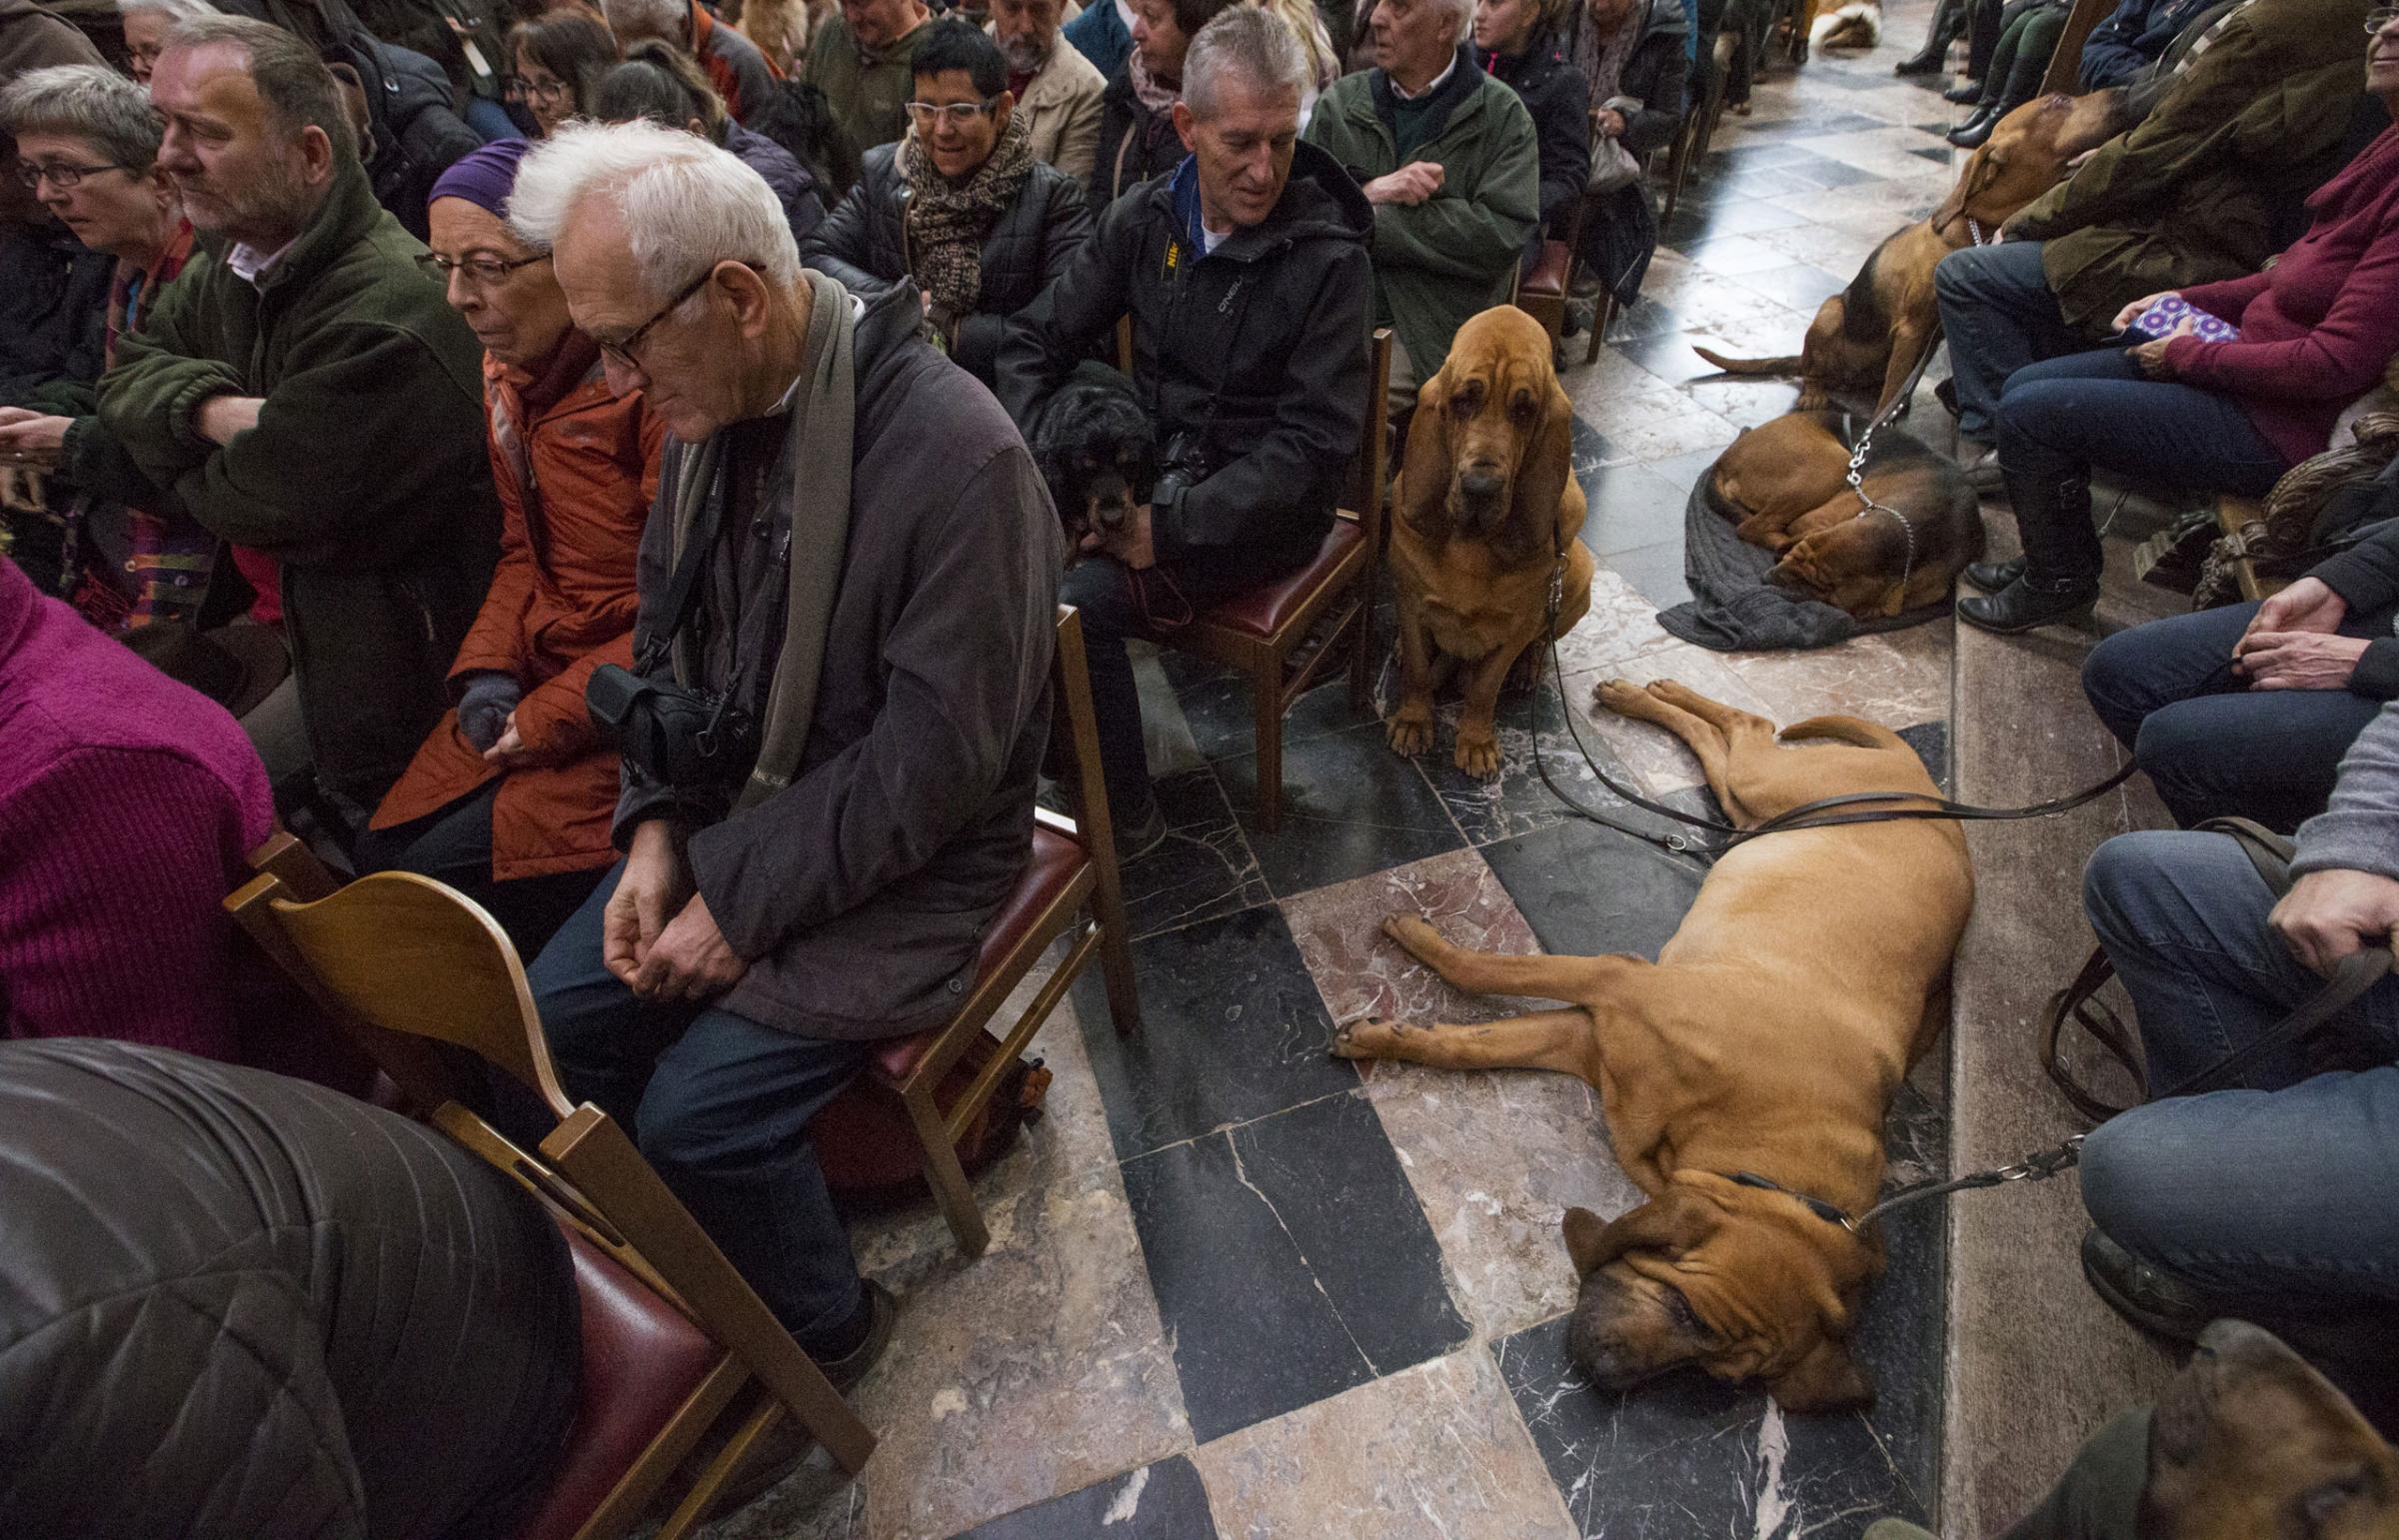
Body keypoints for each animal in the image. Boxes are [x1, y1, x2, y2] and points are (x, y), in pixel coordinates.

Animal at [1333, 676, 1967, 1410]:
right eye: (1688, 1311)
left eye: (1718, 1376)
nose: (1606, 1379)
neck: (1758, 1132)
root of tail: (1934, 794)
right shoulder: (1617, 980)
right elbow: (1482, 970)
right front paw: (1416, 941)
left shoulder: (1587, 1036)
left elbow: (1473, 1044)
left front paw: (1386, 1034)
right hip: (1773, 787)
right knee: (1750, 727)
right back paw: (1640, 692)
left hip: (1756, 812)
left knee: (1730, 742)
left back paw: (1642, 693)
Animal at [1381, 307, 1602, 776]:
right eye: (1463, 401)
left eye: (1525, 410)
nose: (1481, 487)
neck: (1473, 545)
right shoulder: (1410, 600)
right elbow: (1418, 673)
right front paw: (1413, 722)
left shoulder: (1518, 624)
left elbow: (1485, 687)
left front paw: (1476, 741)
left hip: (1579, 578)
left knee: (1540, 644)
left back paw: (1527, 671)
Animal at [1688, 87, 2139, 412]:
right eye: (2059, 101)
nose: (2128, 89)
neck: (1974, 228)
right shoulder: (1913, 330)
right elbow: (1892, 391)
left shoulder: (1933, 337)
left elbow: (1898, 388)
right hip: (1831, 312)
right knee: (1814, 371)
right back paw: (1816, 392)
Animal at [1717, 410, 1976, 619]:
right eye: (1796, 554)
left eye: (1828, 587)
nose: (1768, 579)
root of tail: (1725, 457)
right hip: (1832, 464)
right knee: (1751, 527)